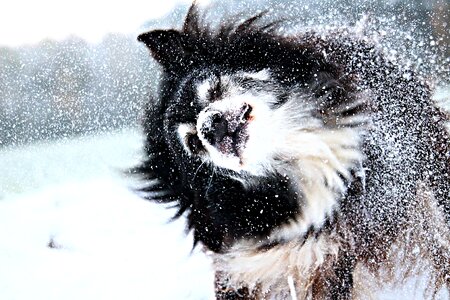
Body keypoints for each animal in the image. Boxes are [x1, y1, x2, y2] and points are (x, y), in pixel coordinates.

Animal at [134, 4, 450, 300]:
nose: (210, 127)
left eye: (213, 90)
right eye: (194, 143)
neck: (292, 155)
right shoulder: (247, 268)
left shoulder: (335, 253)